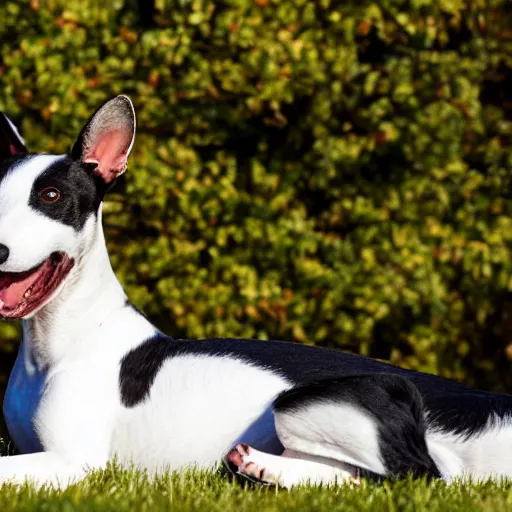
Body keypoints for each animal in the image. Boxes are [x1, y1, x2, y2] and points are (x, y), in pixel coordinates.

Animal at [0, 95, 512, 488]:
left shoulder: (75, 462)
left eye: (50, 197)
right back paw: (261, 468)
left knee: (421, 474)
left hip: (309, 401)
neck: (61, 339)